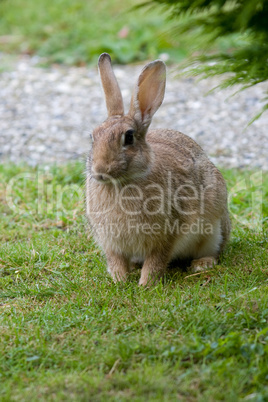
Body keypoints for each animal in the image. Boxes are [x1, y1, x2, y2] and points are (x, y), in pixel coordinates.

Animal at [86, 53, 230, 286]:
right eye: (93, 137)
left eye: (129, 137)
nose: (100, 169)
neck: (121, 183)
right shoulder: (110, 243)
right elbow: (116, 260)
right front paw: (119, 280)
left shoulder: (166, 236)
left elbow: (156, 260)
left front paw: (146, 284)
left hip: (214, 227)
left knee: (216, 249)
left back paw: (202, 264)